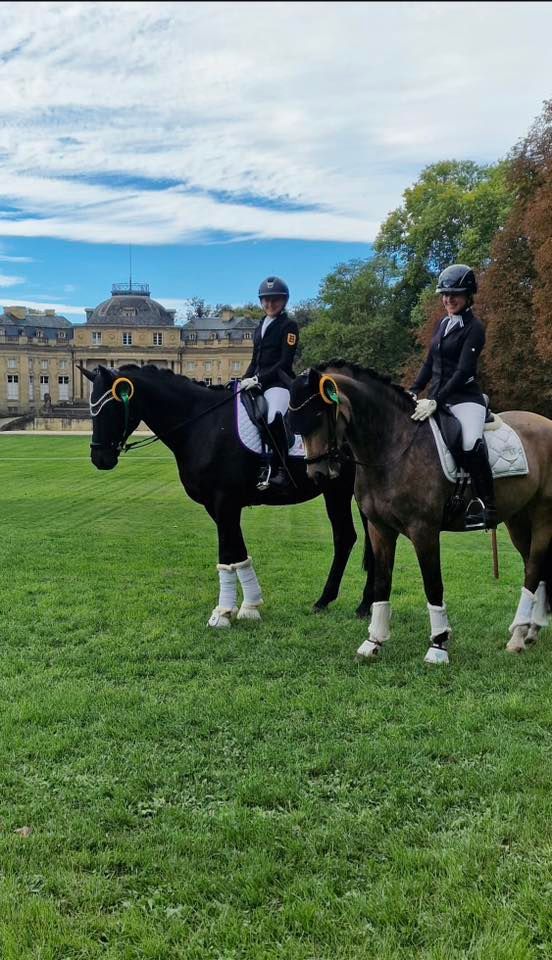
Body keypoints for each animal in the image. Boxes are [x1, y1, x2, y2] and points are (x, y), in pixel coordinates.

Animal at [82, 363, 375, 627]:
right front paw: (249, 607)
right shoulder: (219, 507)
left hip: (340, 490)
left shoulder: (224, 502)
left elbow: (226, 555)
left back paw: (359, 604)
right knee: (350, 537)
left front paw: (222, 613)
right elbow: (238, 553)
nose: (100, 458)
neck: (201, 423)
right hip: (338, 491)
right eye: (92, 409)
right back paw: (334, 601)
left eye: (110, 407)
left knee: (354, 538)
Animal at [289, 362, 552, 664]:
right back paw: (531, 632)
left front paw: (438, 645)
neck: (393, 446)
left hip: (542, 515)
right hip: (518, 519)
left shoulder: (423, 530)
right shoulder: (380, 529)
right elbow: (382, 582)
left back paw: (517, 637)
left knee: (533, 569)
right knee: (535, 567)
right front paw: (373, 641)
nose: (318, 474)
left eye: (319, 414)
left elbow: (433, 585)